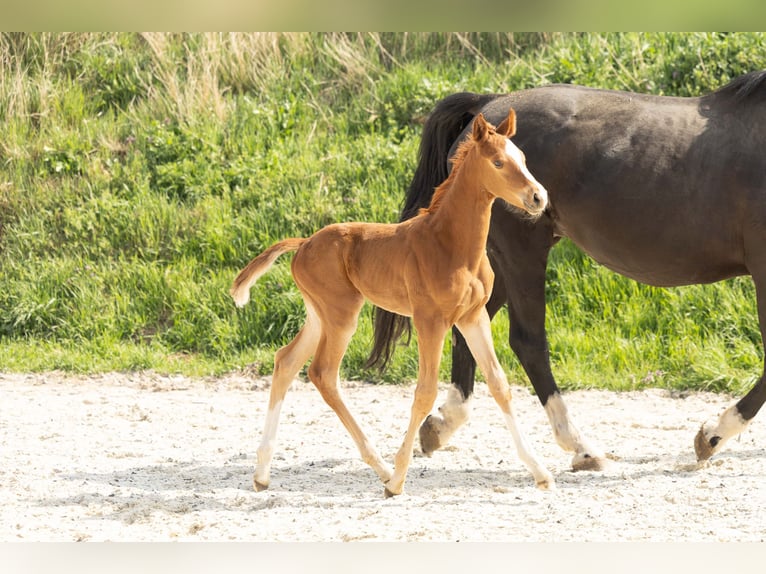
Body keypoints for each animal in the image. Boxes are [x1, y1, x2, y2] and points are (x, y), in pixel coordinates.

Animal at [231, 111, 552, 497]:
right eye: (498, 162)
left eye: (523, 157)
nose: (538, 197)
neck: (452, 245)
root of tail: (304, 243)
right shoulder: (430, 320)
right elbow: (425, 392)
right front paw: (398, 480)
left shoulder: (473, 318)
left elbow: (500, 385)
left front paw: (540, 471)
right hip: (341, 315)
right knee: (322, 373)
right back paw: (382, 470)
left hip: (318, 315)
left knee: (286, 361)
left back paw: (262, 474)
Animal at [368, 70, 766, 472]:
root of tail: (485, 107)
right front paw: (713, 435)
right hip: (522, 252)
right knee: (528, 342)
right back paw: (581, 446)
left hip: (497, 260)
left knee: (470, 329)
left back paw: (440, 425)